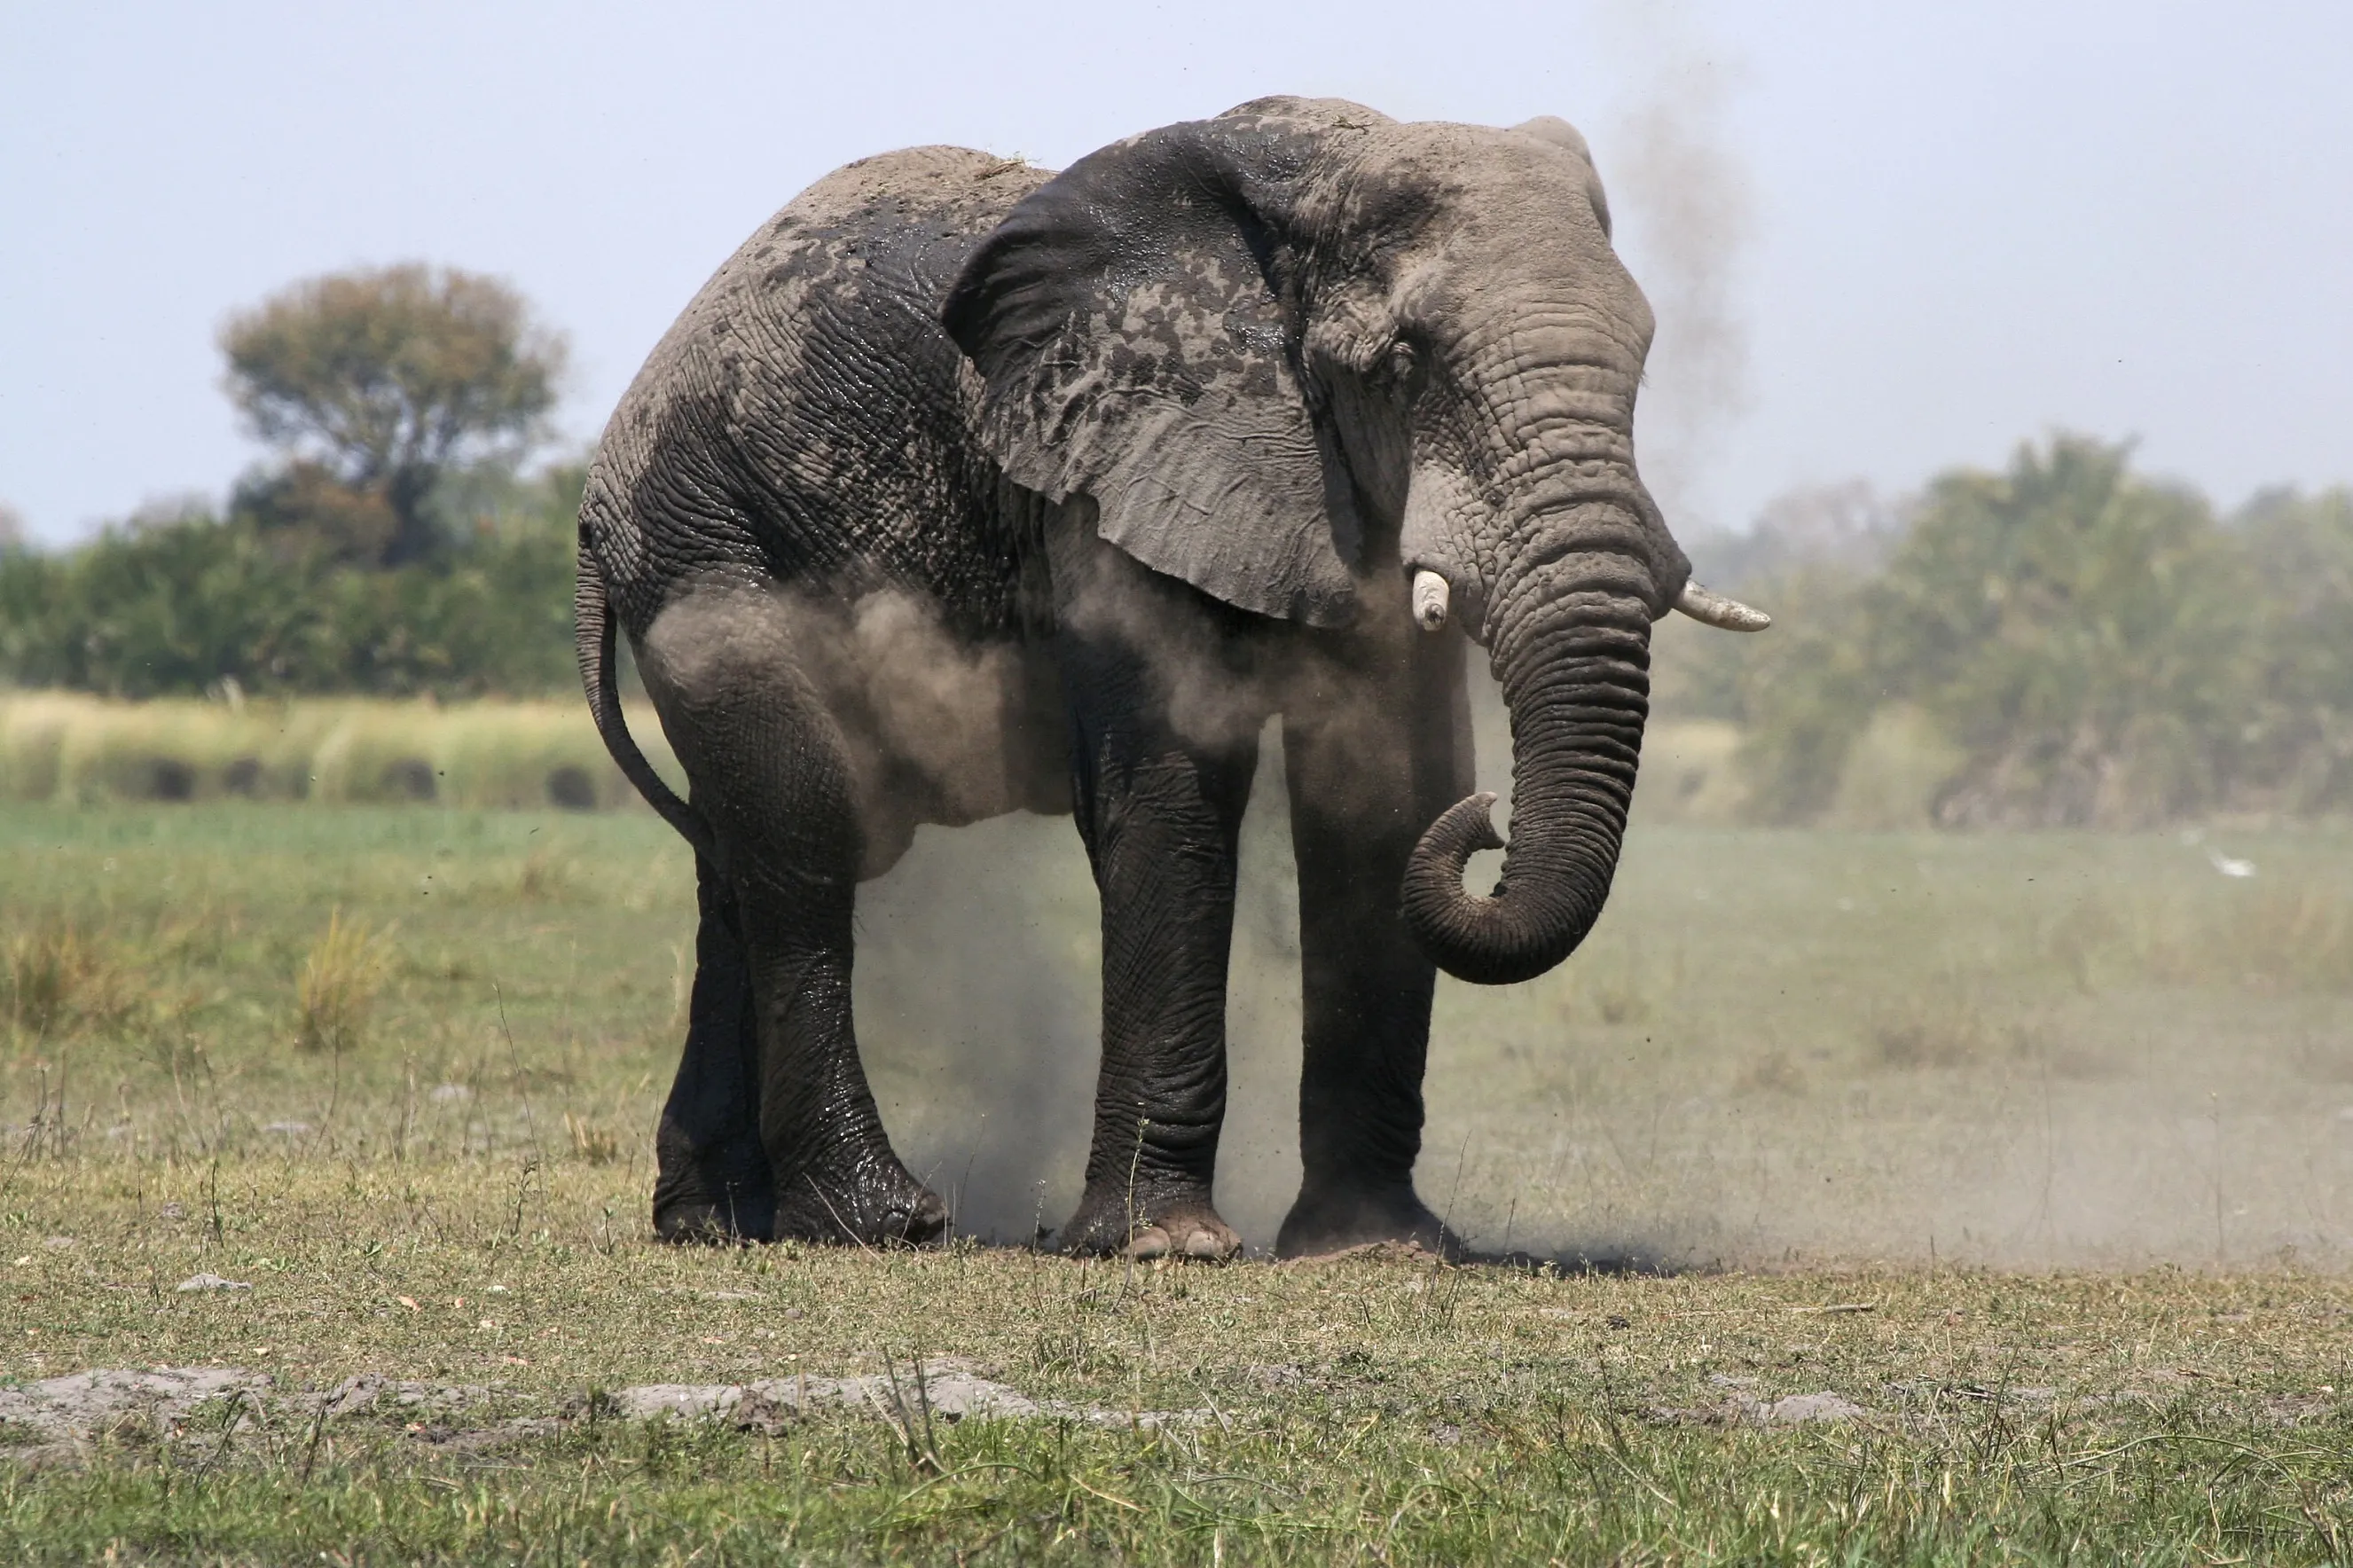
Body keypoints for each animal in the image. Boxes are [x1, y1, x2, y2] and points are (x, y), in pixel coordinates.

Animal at [574, 95, 1766, 1260]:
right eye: (1402, 362)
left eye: (1646, 356)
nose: (1492, 824)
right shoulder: (1114, 467)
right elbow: (1170, 790)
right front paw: (1169, 1245)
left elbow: (1382, 799)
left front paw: (1376, 1247)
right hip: (709, 547)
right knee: (803, 837)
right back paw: (882, 1222)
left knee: (735, 861)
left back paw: (717, 1222)